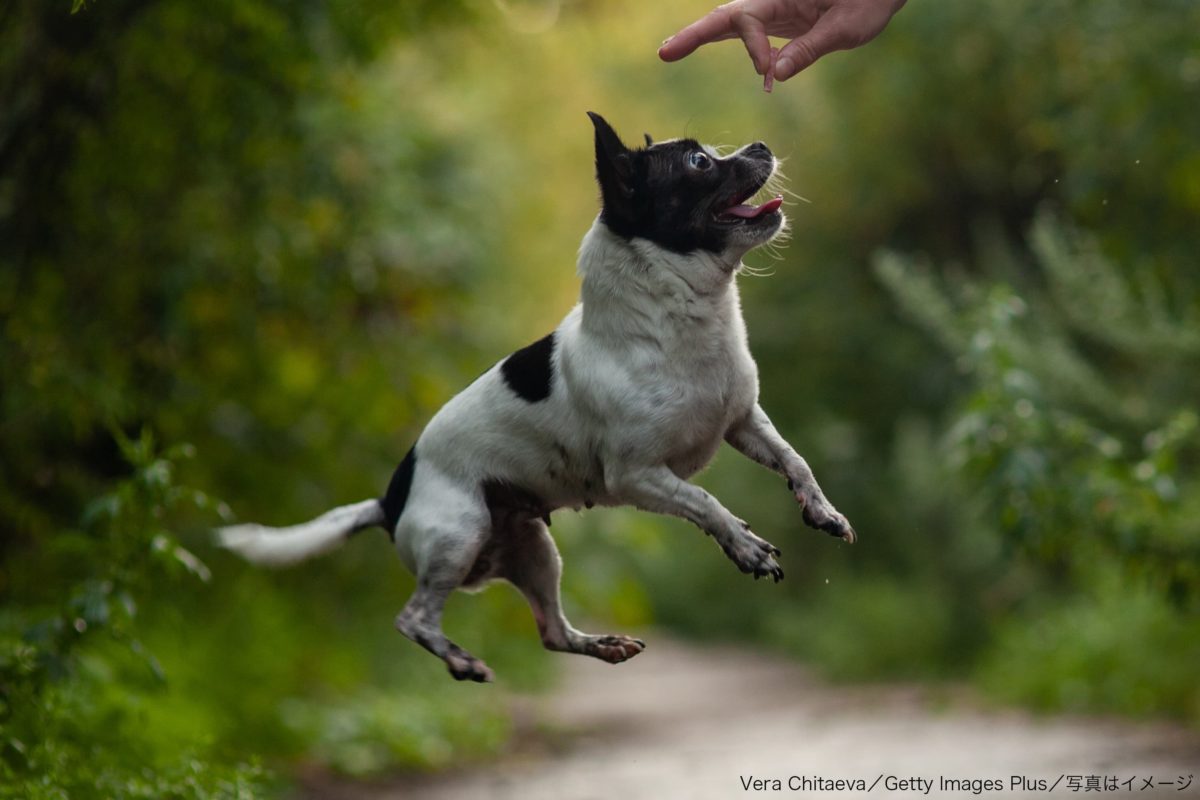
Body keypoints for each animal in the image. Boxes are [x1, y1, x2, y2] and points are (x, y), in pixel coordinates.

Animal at [218, 115, 854, 686]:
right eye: (699, 162)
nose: (761, 144)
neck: (681, 320)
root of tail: (389, 499)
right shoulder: (638, 476)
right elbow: (706, 503)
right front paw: (745, 547)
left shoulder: (743, 422)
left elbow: (795, 461)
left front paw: (822, 511)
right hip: (459, 533)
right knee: (413, 618)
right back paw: (461, 660)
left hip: (533, 549)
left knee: (551, 631)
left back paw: (602, 645)